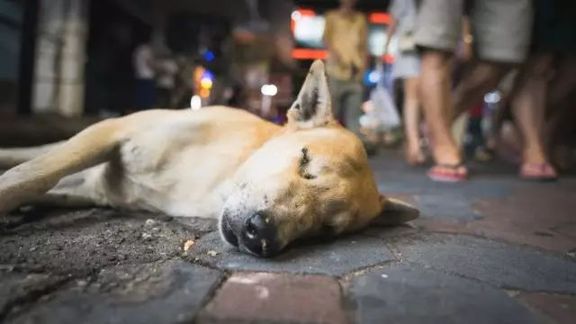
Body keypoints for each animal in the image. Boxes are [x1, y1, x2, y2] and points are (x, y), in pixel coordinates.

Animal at [0, 60, 418, 256]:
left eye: (328, 229)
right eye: (304, 161)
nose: (262, 234)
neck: (210, 184)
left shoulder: (94, 190)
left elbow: (39, 183)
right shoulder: (110, 130)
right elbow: (29, 175)